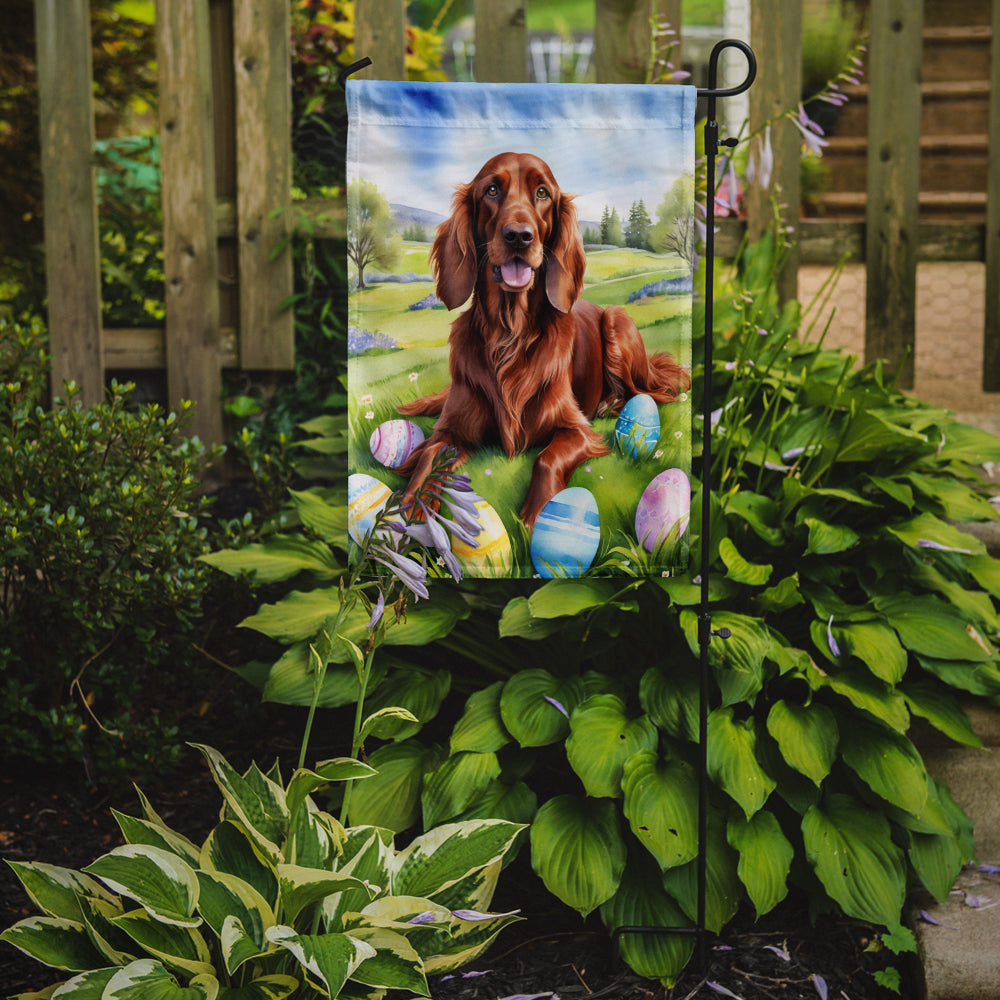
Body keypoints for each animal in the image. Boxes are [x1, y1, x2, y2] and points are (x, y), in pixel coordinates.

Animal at [394, 152, 692, 528]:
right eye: (491, 190)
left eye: (542, 193)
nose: (519, 236)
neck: (510, 334)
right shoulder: (450, 431)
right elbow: (427, 458)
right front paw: (407, 508)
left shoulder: (575, 429)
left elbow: (546, 458)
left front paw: (540, 515)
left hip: (617, 321)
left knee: (647, 391)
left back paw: (612, 403)